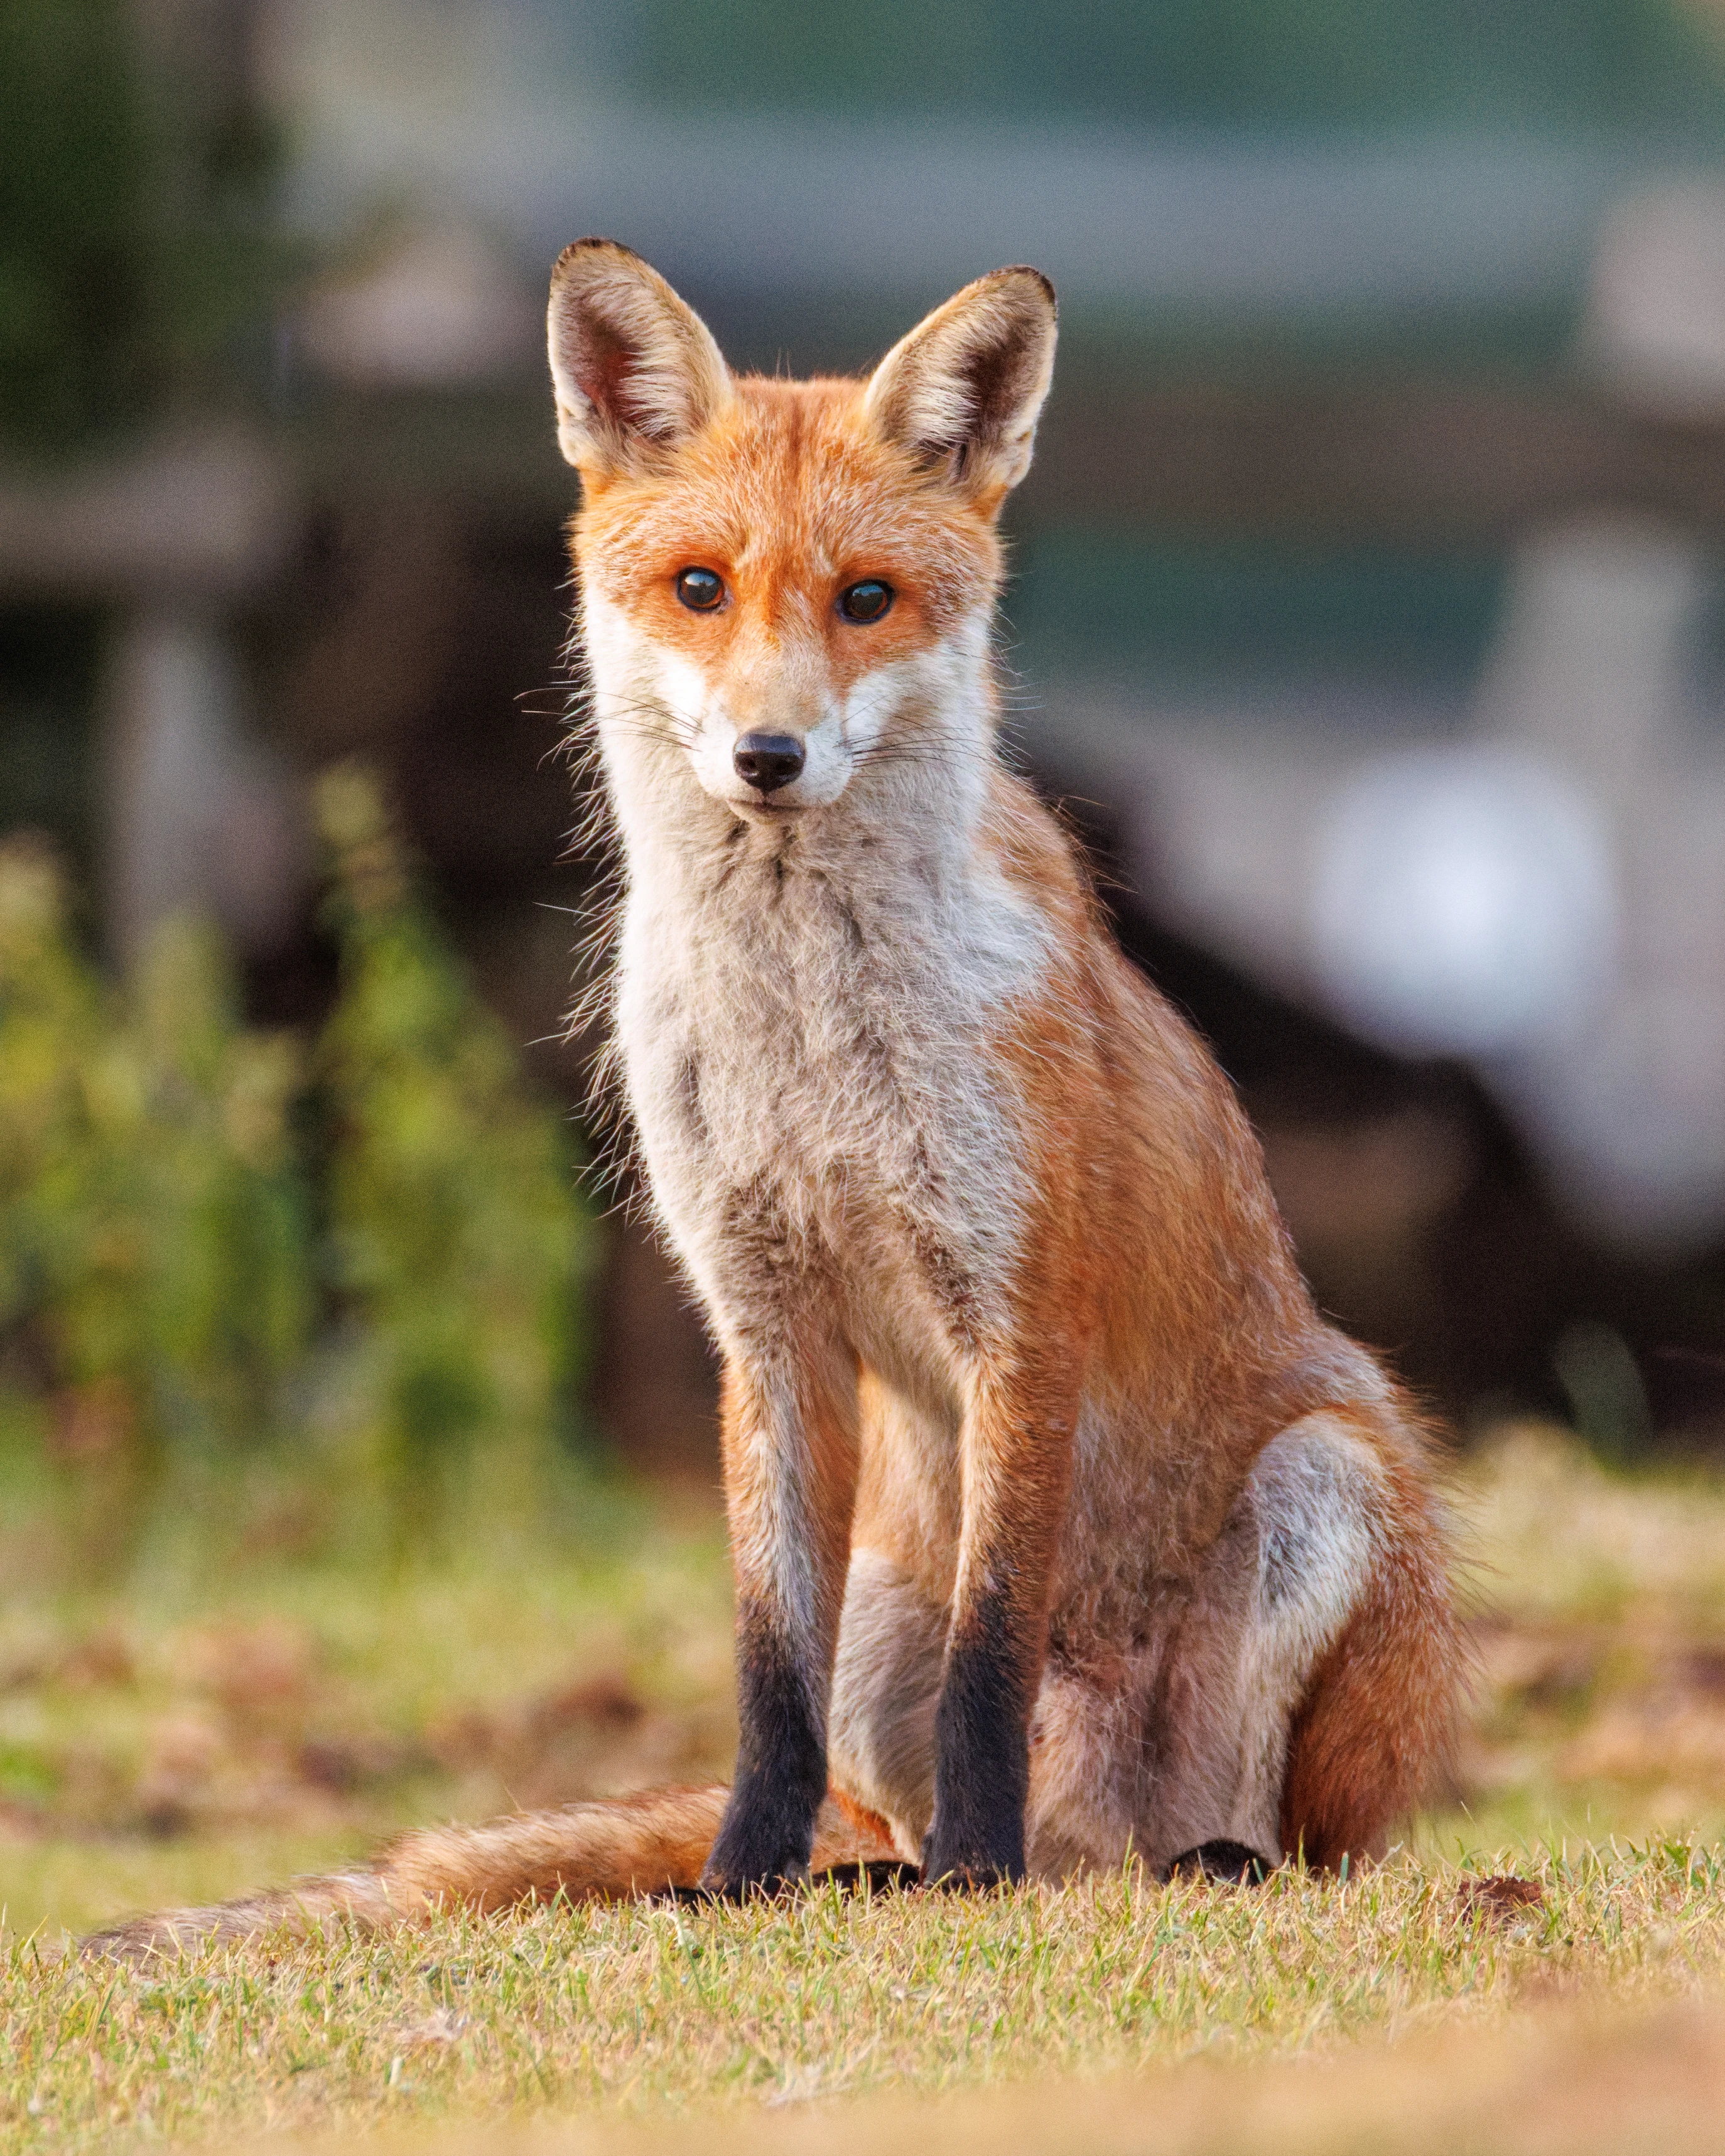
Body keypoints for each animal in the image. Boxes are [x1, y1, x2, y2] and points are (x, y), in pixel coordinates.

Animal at [87, 243, 1461, 1959]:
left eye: (866, 599)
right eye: (699, 588)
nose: (768, 752)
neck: (810, 1042)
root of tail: (1116, 1819)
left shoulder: (1018, 1306)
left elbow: (991, 1654)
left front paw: (972, 1875)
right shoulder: (760, 1317)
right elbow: (763, 1672)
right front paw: (739, 1878)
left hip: (1325, 1492)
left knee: (1280, 1834)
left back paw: (1147, 1863)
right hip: (884, 1625)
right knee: (925, 1795)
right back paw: (892, 1867)